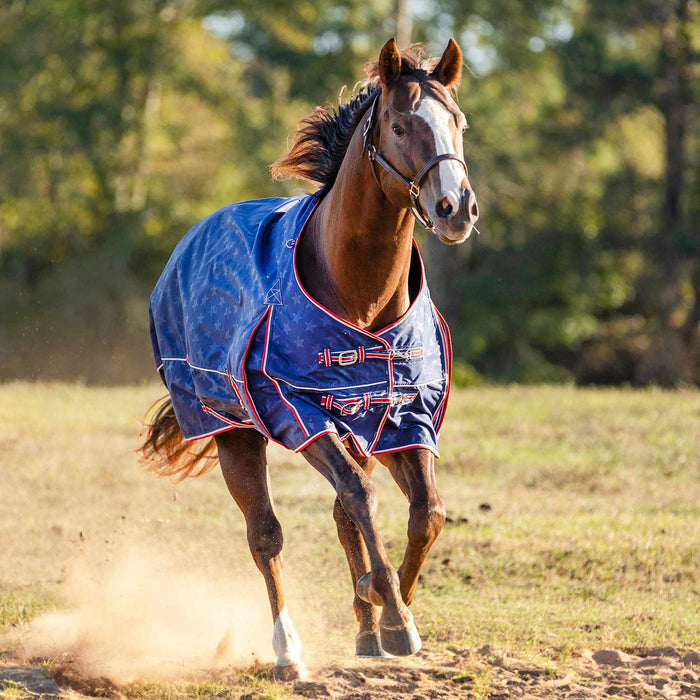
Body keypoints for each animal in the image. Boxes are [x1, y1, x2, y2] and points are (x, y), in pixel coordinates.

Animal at [140, 37, 479, 681]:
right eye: (400, 124)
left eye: (459, 122)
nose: (457, 208)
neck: (358, 295)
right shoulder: (299, 413)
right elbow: (360, 498)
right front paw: (394, 615)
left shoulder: (400, 416)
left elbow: (426, 512)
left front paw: (390, 607)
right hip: (234, 431)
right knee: (266, 536)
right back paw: (288, 652)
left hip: (355, 430)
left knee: (345, 514)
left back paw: (365, 624)